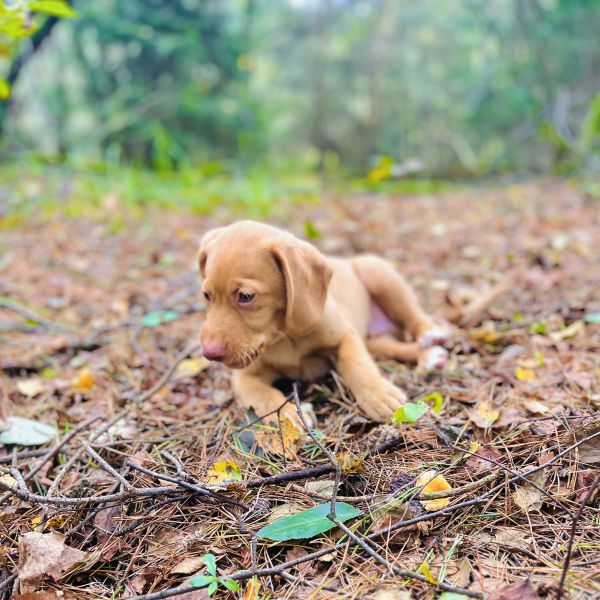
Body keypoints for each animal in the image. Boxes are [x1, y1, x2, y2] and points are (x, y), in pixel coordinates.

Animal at [199, 223, 448, 424]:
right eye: (206, 296)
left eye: (246, 296)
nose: (209, 353)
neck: (284, 337)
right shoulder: (244, 378)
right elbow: (263, 395)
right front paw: (286, 416)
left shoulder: (346, 337)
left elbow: (357, 364)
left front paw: (378, 394)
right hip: (371, 339)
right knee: (395, 347)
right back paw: (429, 355)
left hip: (379, 274)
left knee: (413, 316)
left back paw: (430, 333)